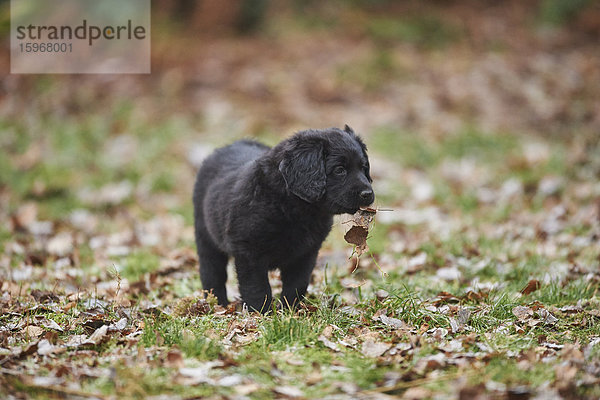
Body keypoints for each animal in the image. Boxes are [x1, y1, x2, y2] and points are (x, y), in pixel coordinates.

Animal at [192, 126, 372, 312]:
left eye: (364, 167)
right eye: (339, 170)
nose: (368, 194)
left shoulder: (306, 253)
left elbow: (297, 284)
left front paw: (290, 310)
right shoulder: (249, 252)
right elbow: (257, 287)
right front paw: (260, 312)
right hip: (206, 237)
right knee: (212, 273)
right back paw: (217, 304)